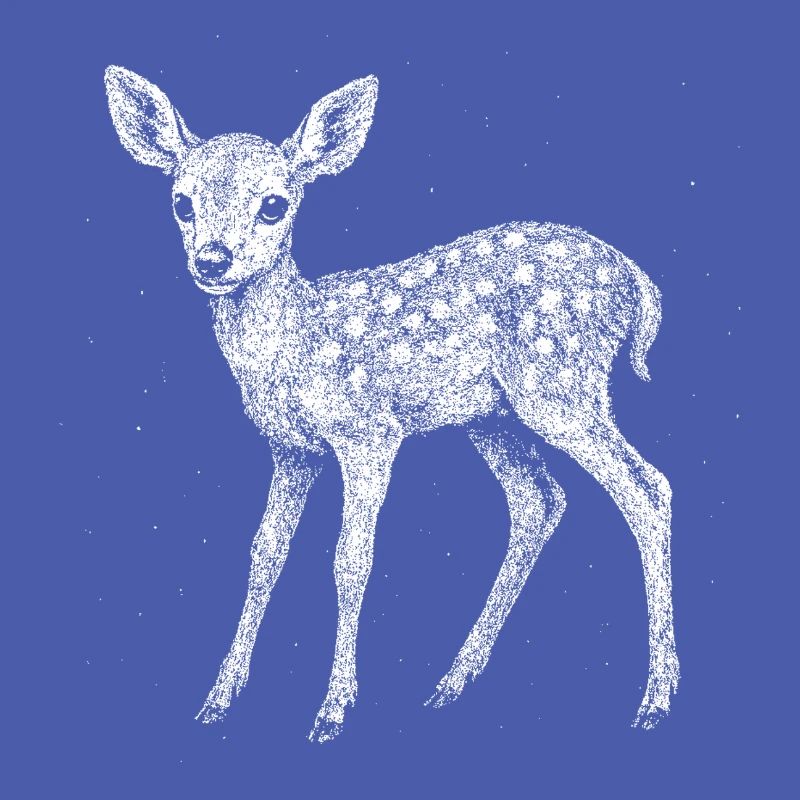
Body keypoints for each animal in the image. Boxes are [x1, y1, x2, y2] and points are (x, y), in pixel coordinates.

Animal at [104, 65, 679, 742]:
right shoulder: (291, 450)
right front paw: (219, 697)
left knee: (646, 487)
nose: (213, 260)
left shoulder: (369, 433)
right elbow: (264, 552)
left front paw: (332, 708)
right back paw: (453, 681)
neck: (297, 343)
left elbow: (350, 560)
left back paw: (656, 698)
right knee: (539, 501)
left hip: (561, 383)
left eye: (274, 204)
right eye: (181, 202)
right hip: (495, 416)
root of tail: (640, 285)